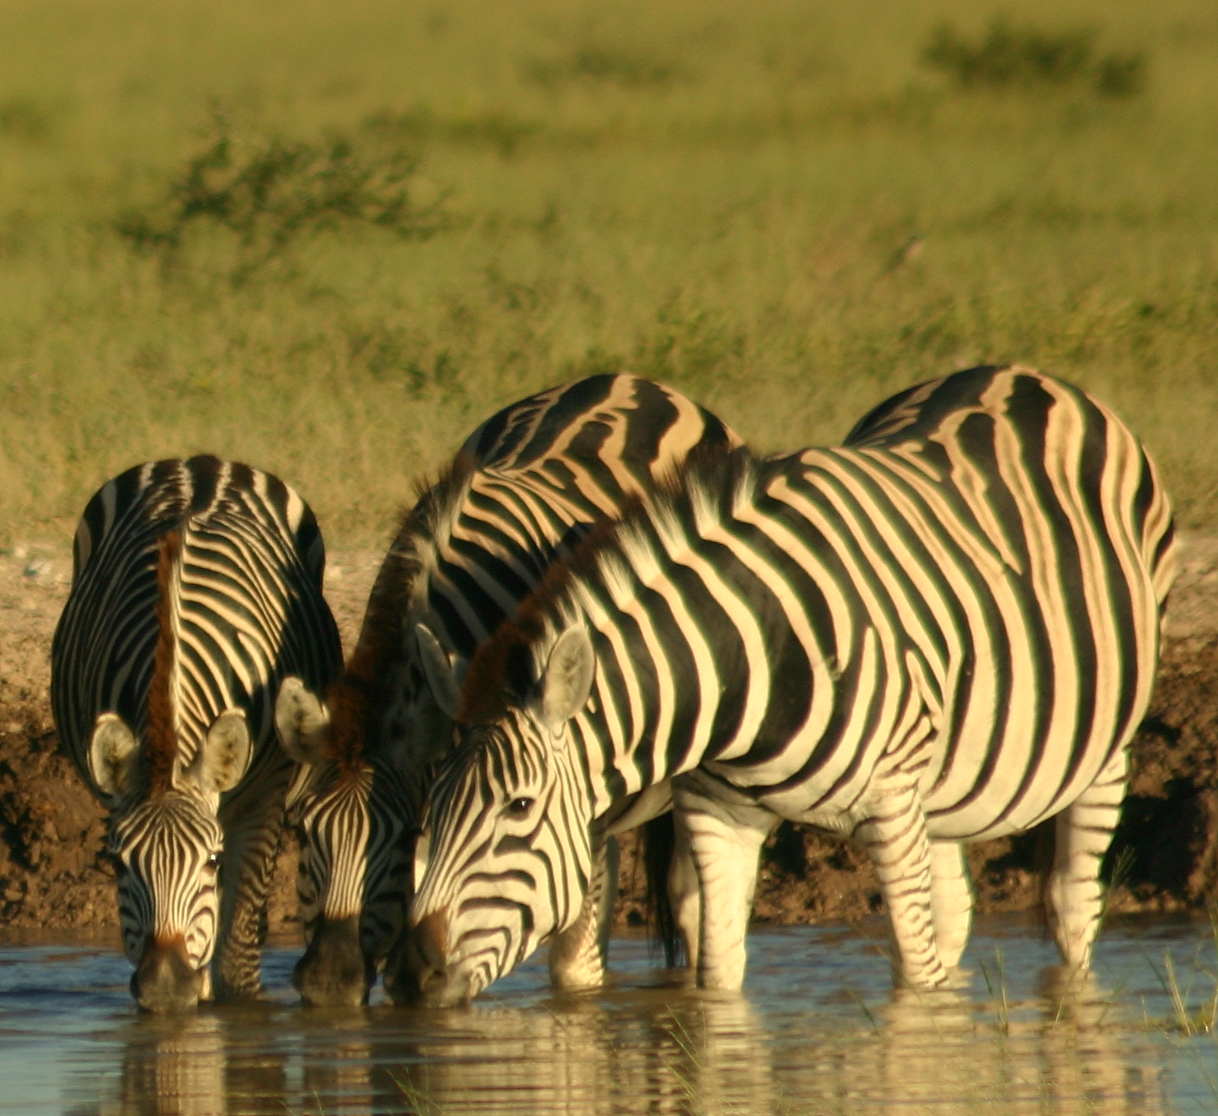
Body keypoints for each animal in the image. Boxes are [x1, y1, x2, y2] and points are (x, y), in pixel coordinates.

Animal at [51, 456, 343, 1012]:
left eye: (210, 860)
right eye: (118, 863)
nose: (166, 989)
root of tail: (198, 462)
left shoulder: (266, 797)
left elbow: (234, 962)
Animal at [402, 366, 1176, 1005]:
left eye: (519, 807)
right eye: (430, 806)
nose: (420, 968)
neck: (751, 664)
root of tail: (1026, 374)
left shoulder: (892, 807)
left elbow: (914, 979)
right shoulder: (715, 812)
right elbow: (718, 977)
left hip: (1103, 749)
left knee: (1072, 907)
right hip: (947, 785)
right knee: (957, 908)